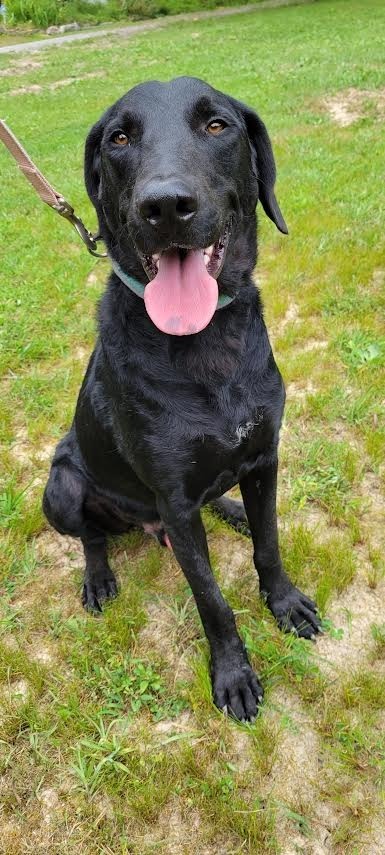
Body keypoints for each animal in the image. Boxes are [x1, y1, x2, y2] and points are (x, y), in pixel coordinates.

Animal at [42, 78, 320, 724]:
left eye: (217, 126)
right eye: (119, 138)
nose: (166, 206)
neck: (206, 344)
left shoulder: (264, 458)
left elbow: (269, 546)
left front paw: (284, 603)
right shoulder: (171, 497)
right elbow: (211, 597)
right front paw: (233, 675)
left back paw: (233, 509)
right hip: (60, 486)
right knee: (92, 536)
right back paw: (98, 578)